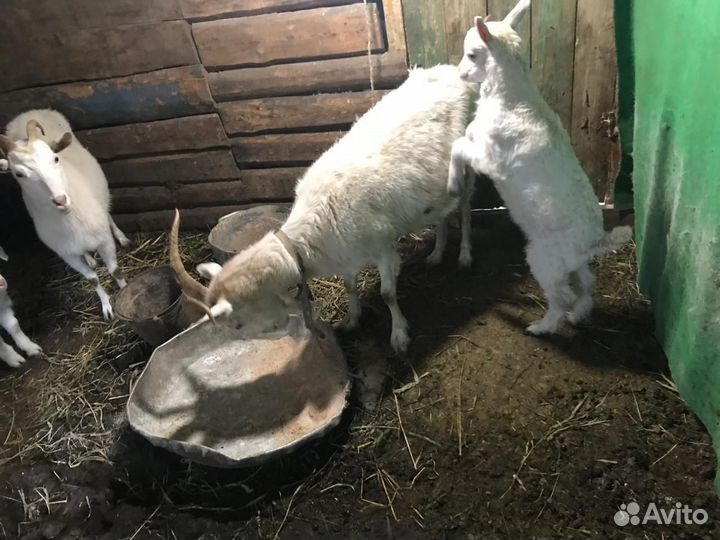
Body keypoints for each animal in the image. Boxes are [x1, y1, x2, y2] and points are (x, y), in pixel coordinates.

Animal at [0, 110, 129, 320]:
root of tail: (27, 113)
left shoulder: (103, 240)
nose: (61, 200)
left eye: (55, 158)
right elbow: (92, 279)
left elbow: (114, 270)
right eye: (18, 174)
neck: (70, 221)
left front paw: (126, 291)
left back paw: (122, 237)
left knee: (107, 212)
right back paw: (90, 259)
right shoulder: (67, 254)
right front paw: (106, 305)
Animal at [170, 65, 477, 352]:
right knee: (442, 213)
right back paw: (436, 254)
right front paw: (352, 319)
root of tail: (450, 71)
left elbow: (387, 294)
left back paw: (464, 255)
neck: (305, 240)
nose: (276, 336)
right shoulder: (345, 254)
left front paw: (399, 335)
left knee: (464, 208)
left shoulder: (382, 246)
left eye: (237, 324)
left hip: (466, 161)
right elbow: (350, 285)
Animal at [448, 0, 632, 334]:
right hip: (569, 262)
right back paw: (578, 315)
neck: (513, 100)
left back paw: (542, 326)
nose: (461, 74)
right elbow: (463, 136)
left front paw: (453, 183)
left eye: (472, 54)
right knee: (585, 284)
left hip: (544, 259)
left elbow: (459, 146)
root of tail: (594, 241)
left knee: (561, 297)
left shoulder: (490, 158)